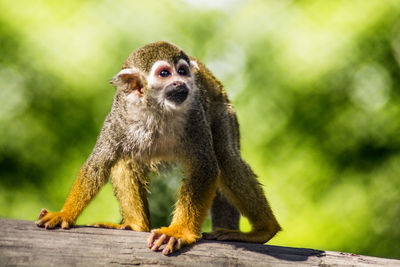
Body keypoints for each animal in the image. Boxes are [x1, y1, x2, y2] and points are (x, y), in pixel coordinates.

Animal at [37, 41, 282, 255]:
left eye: (182, 71)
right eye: (165, 74)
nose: (181, 83)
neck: (157, 108)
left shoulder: (195, 115)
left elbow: (205, 167)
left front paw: (179, 232)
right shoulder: (119, 116)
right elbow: (98, 164)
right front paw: (65, 213)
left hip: (222, 111)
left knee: (225, 157)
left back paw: (264, 230)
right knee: (125, 160)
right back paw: (136, 225)